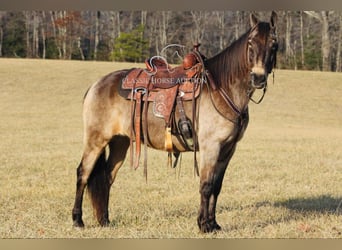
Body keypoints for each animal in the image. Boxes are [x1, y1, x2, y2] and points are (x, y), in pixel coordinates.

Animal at [71, 11, 278, 232]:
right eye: (251, 43)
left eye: (274, 44)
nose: (258, 78)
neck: (221, 88)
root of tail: (96, 85)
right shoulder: (211, 147)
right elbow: (206, 186)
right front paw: (203, 225)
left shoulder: (228, 149)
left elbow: (217, 186)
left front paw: (213, 224)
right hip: (96, 140)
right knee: (83, 174)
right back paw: (77, 220)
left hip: (120, 142)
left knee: (107, 177)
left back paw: (104, 220)